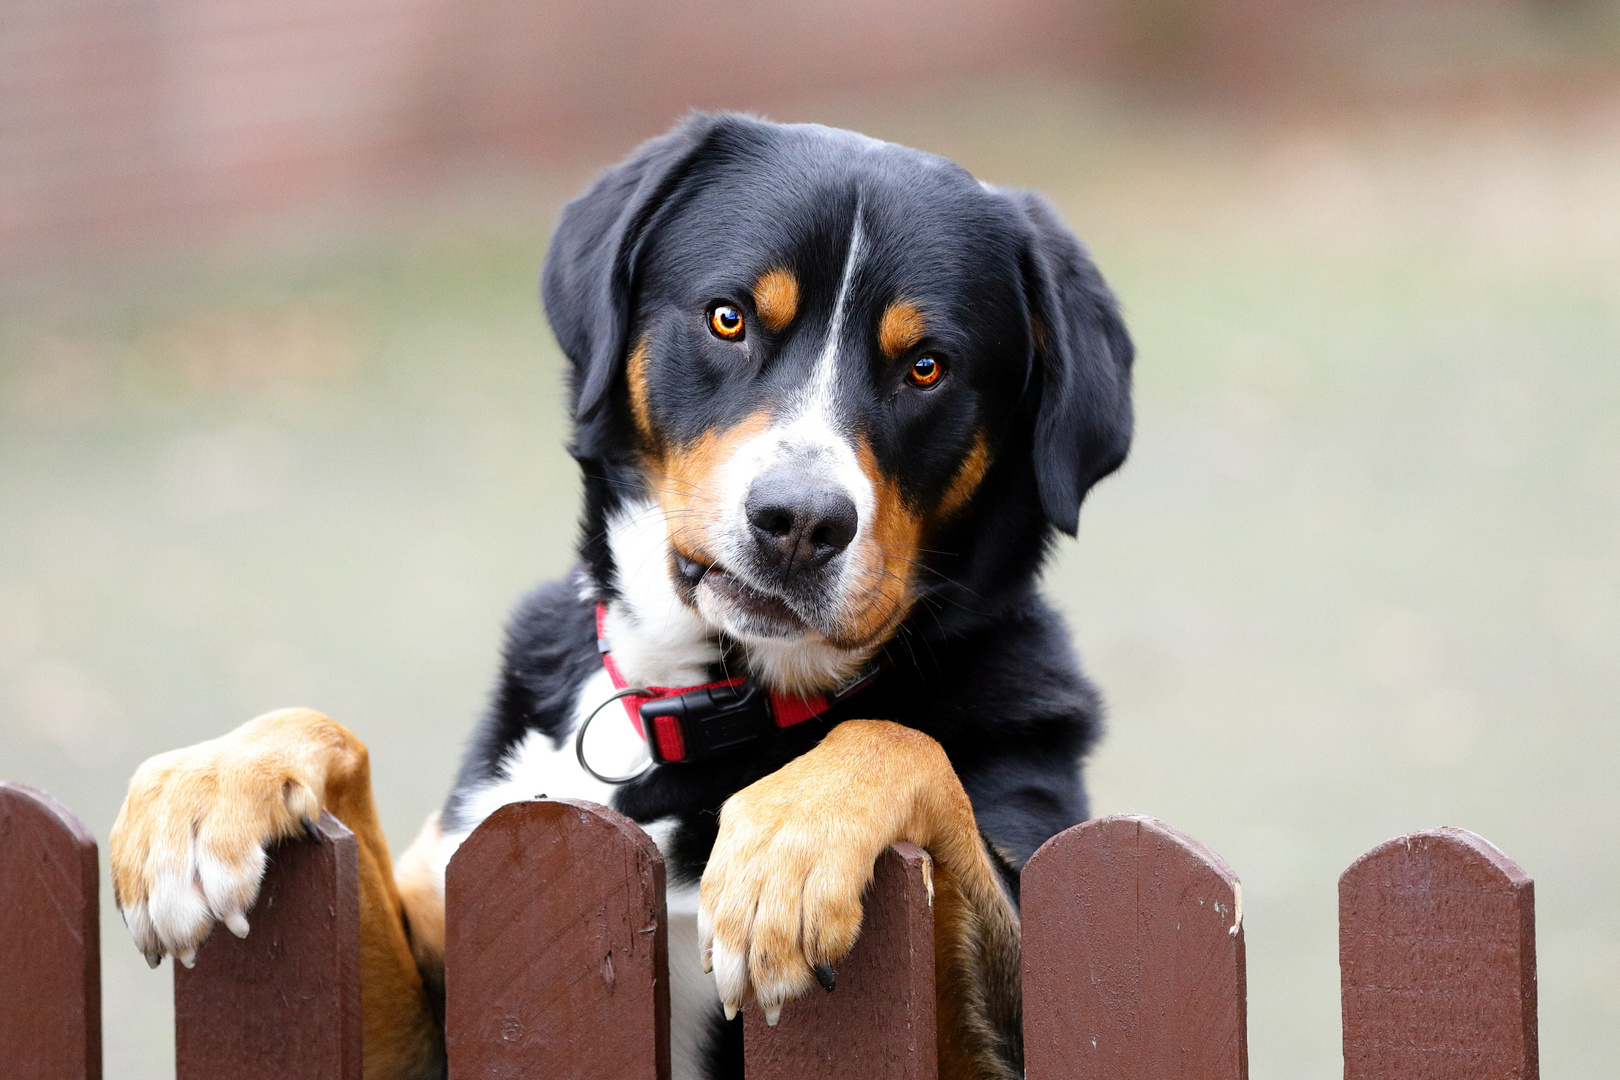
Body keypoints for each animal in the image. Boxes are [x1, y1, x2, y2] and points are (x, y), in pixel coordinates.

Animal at [107, 116, 1134, 1080]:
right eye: (728, 319)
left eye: (926, 367)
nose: (798, 520)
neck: (687, 695)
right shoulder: (434, 1003)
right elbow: (325, 732)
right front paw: (210, 786)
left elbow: (899, 743)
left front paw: (791, 848)